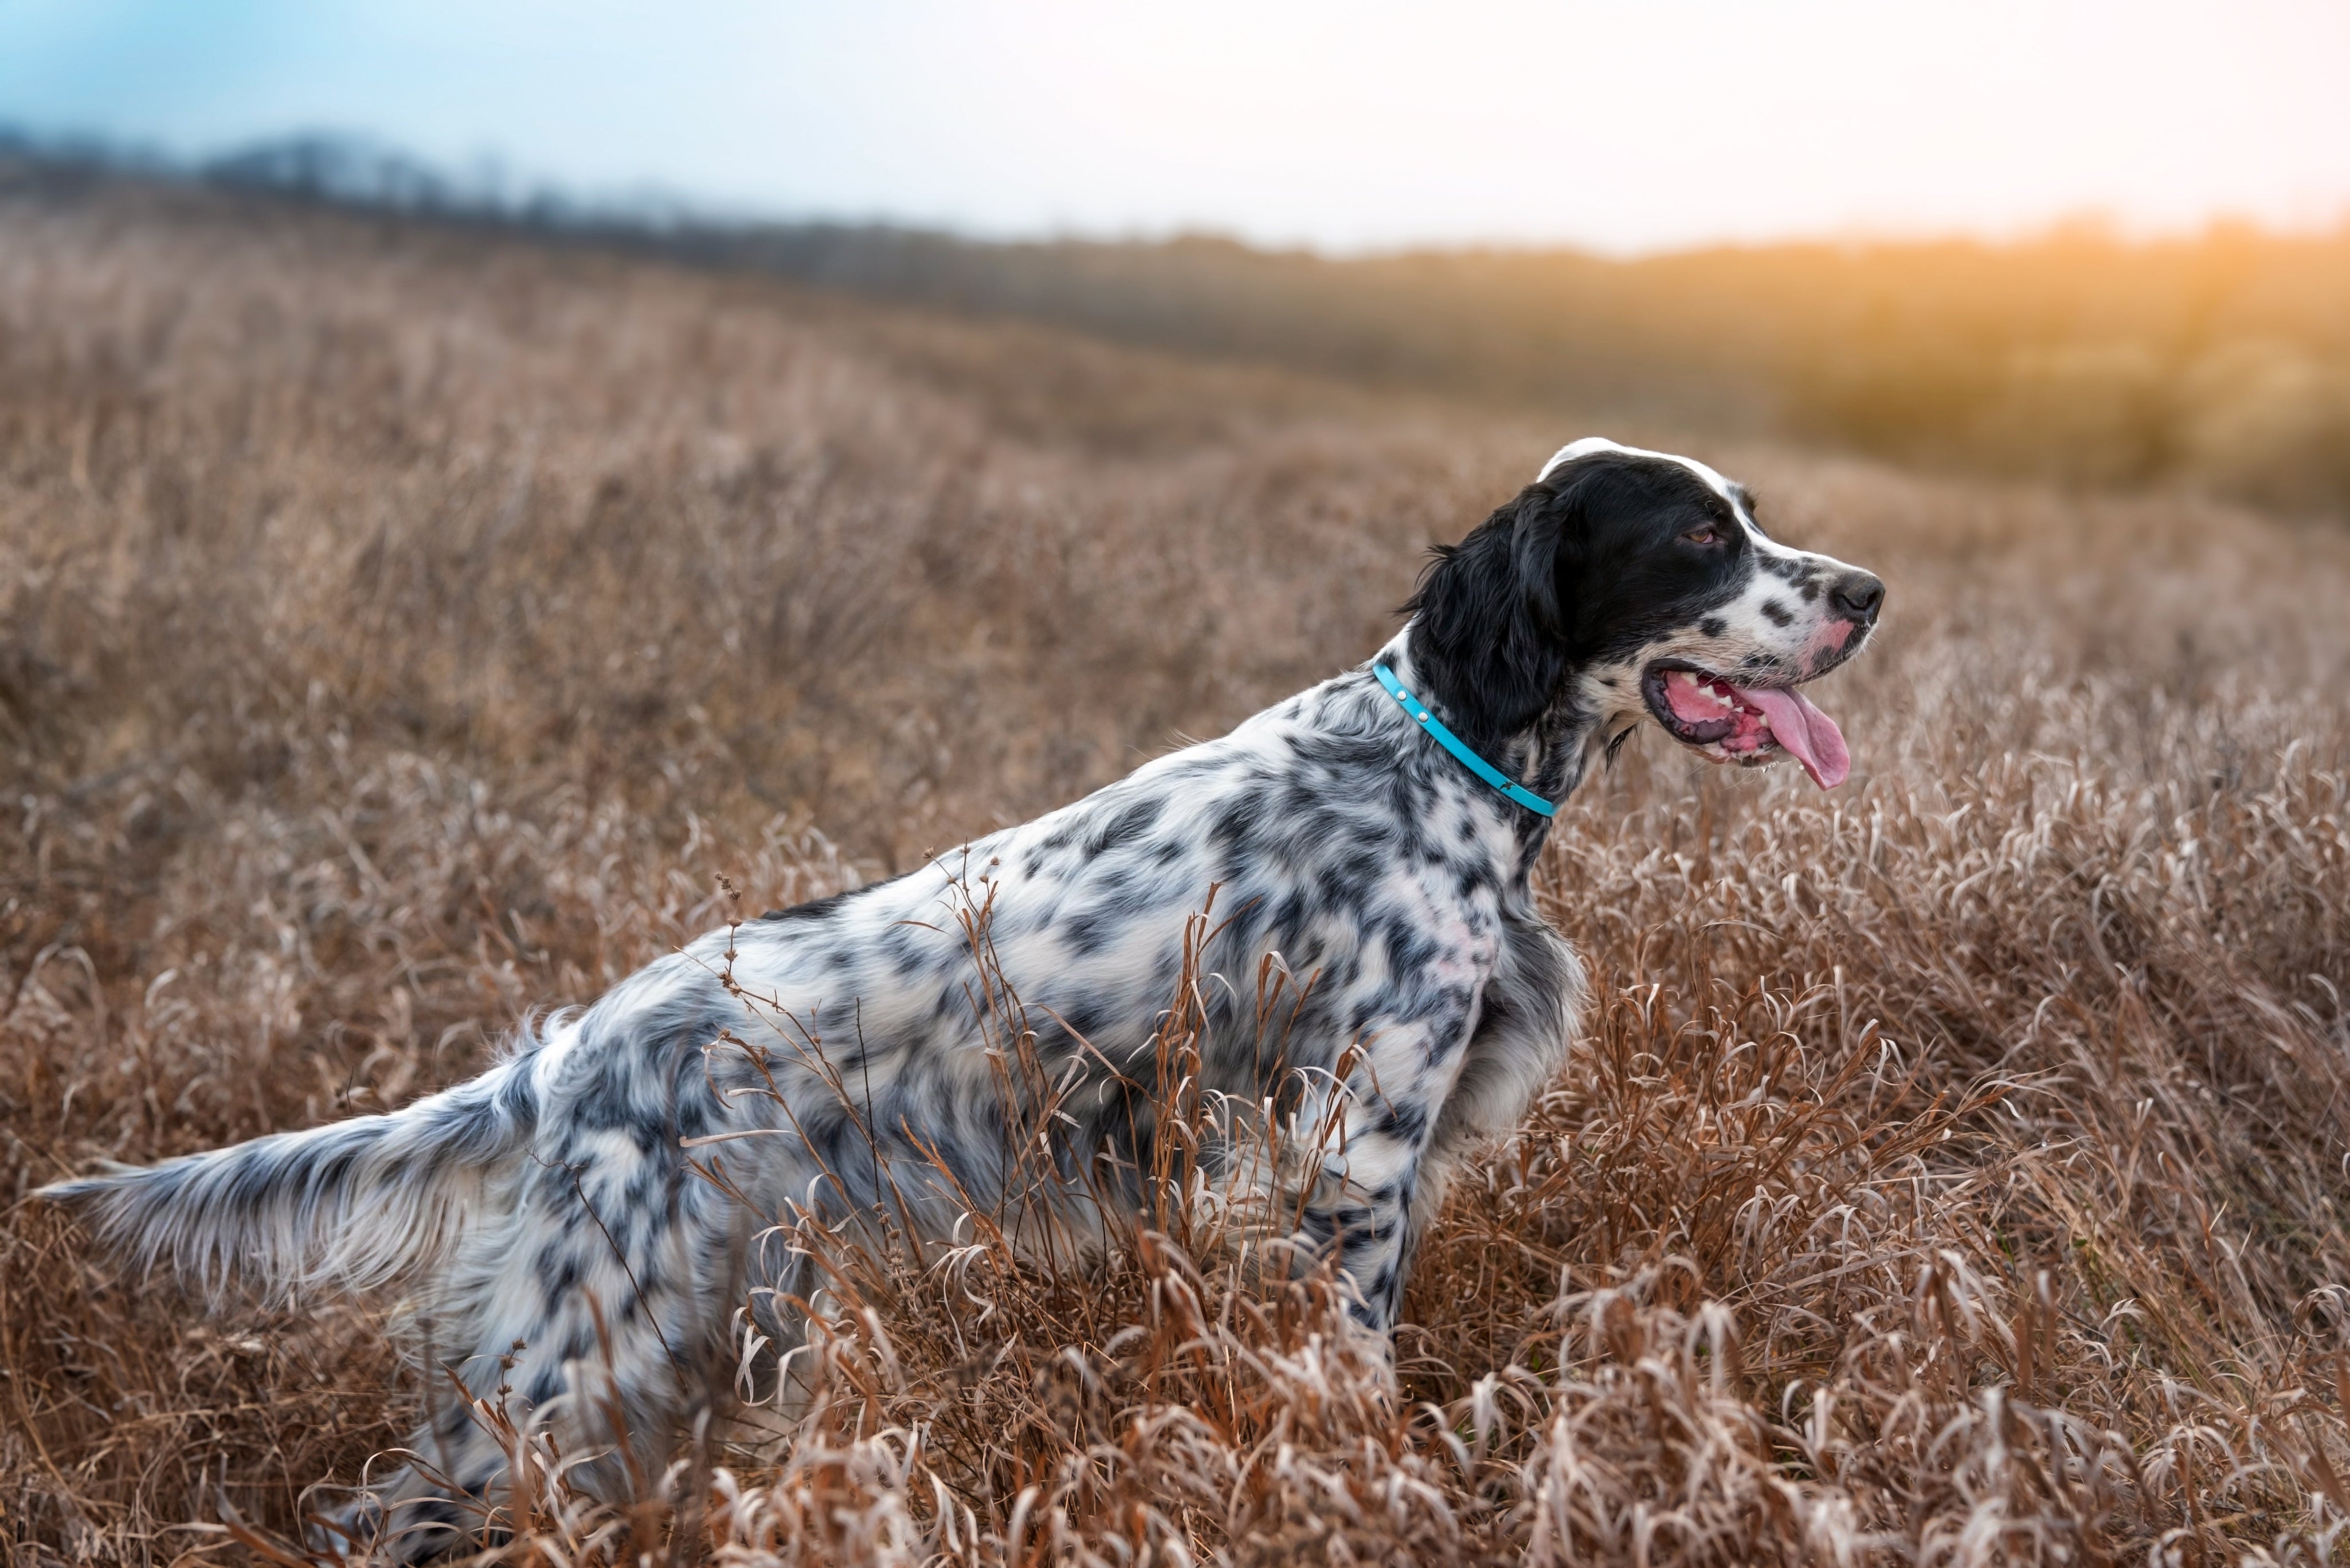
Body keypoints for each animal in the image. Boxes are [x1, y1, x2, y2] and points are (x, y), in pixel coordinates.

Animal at [37, 440, 1880, 1561]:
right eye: (1697, 537)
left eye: (1750, 512)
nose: (1865, 592)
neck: (1439, 756)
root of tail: (569, 1053)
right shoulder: (1351, 1159)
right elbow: (1356, 1376)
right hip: (589, 1332)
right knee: (407, 1506)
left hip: (692, 1330)